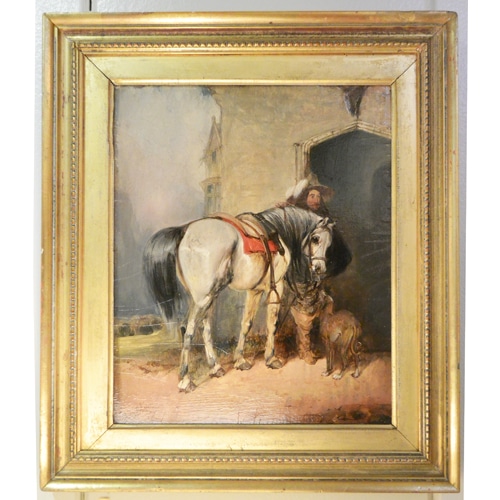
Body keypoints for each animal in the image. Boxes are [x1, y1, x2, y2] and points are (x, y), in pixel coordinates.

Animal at [143, 205, 336, 392]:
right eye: (315, 238)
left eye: (330, 244)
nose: (320, 268)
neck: (276, 231)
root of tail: (184, 232)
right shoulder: (276, 286)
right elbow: (272, 323)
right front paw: (270, 358)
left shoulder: (254, 290)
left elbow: (246, 324)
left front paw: (240, 360)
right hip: (204, 297)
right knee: (188, 329)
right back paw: (185, 379)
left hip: (205, 296)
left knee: (205, 328)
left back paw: (215, 367)